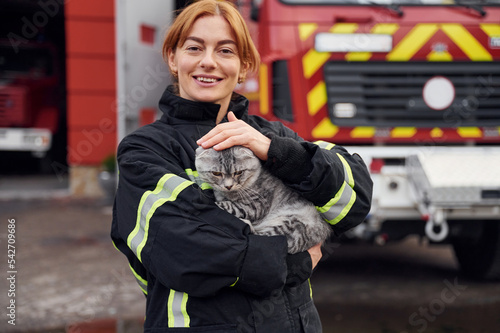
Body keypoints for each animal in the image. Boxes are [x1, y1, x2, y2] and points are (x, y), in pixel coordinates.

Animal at [195, 144, 332, 253]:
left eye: (239, 172)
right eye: (216, 174)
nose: (228, 186)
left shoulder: (257, 206)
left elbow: (229, 206)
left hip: (292, 224)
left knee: (262, 236)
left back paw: (246, 223)